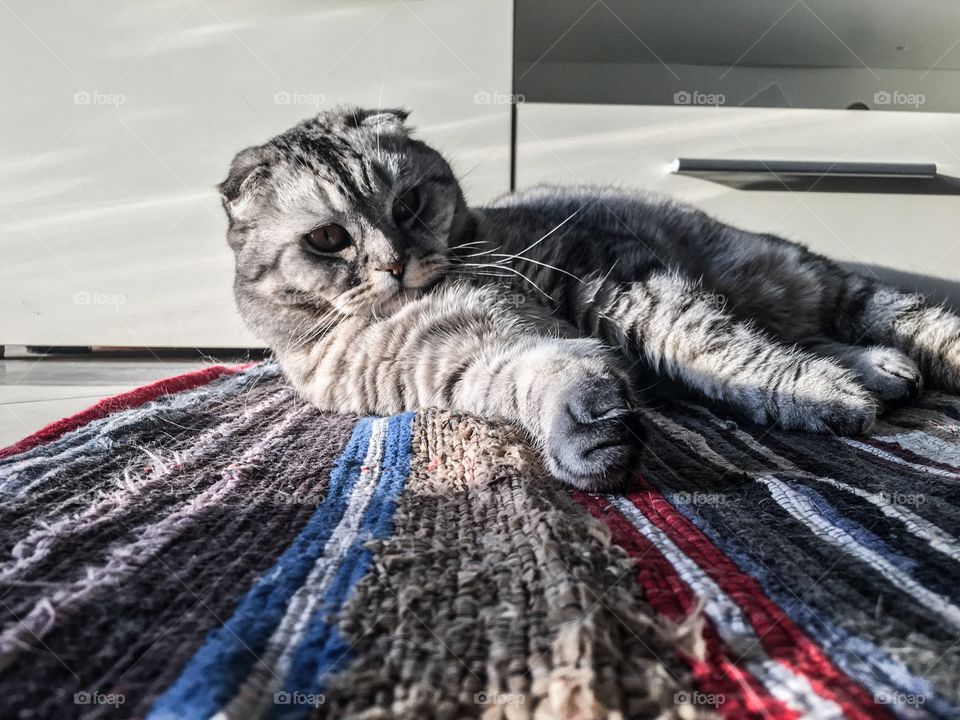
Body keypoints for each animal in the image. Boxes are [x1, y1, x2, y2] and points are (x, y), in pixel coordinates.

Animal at [219, 107, 960, 490]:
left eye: (409, 205)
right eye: (327, 239)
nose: (395, 264)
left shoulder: (615, 284)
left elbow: (719, 350)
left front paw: (817, 392)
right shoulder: (467, 361)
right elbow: (547, 375)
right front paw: (589, 433)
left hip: (789, 278)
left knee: (876, 317)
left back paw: (872, 367)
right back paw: (879, 370)